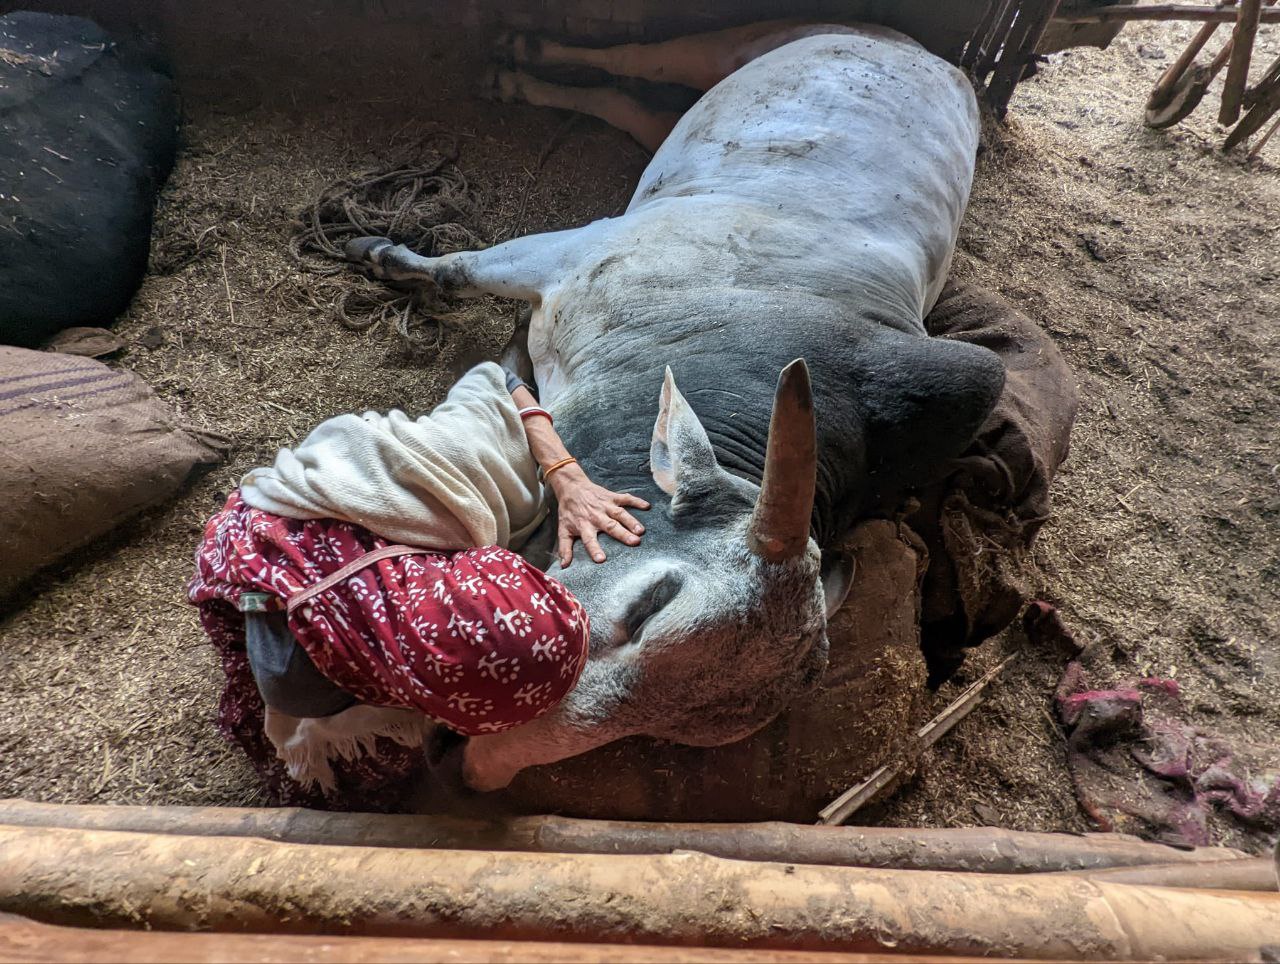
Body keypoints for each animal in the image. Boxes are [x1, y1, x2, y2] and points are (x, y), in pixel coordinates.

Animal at [346, 22, 1005, 792]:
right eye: (650, 606)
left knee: (639, 109)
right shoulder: (574, 250)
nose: (473, 764)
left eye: (662, 730)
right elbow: (453, 270)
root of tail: (932, 55)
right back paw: (521, 63)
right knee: (637, 61)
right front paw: (380, 253)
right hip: (736, 44)